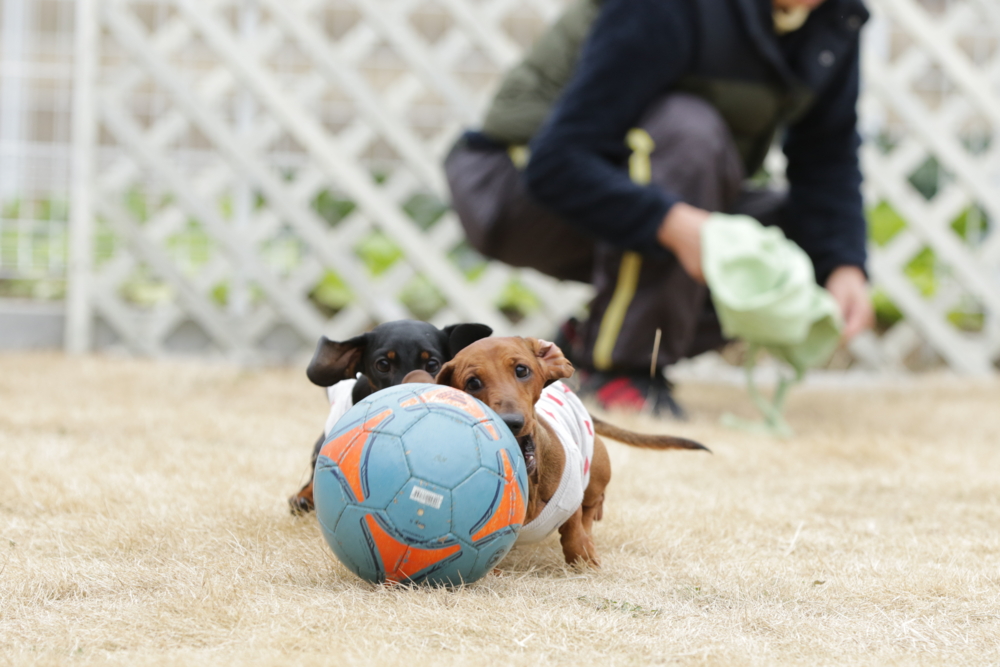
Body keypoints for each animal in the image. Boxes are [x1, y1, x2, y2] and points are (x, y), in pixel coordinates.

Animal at [434, 336, 708, 568]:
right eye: (473, 383)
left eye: (521, 370)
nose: (511, 422)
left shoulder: (571, 494)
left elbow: (574, 527)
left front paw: (584, 558)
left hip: (597, 469)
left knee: (592, 504)